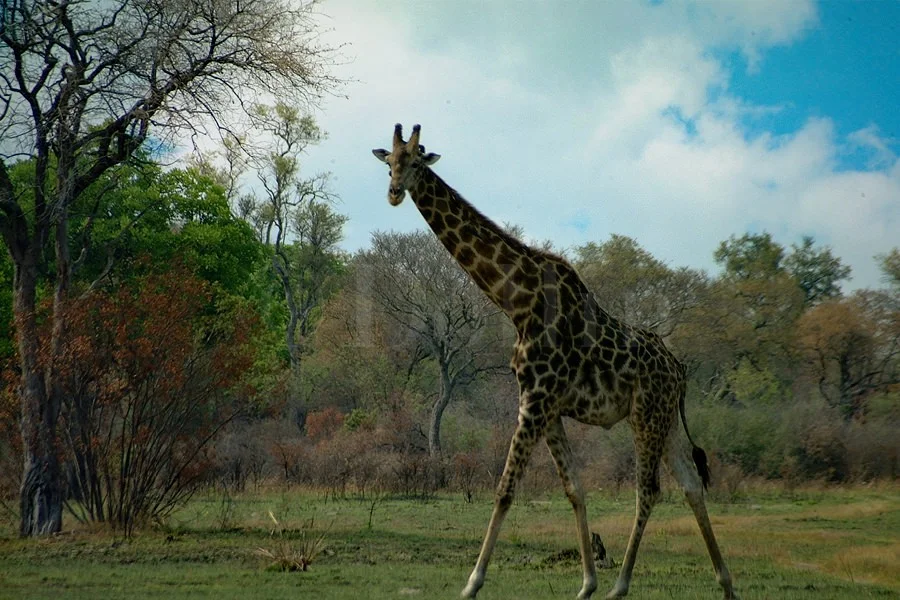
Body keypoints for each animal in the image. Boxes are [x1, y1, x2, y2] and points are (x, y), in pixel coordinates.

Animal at [372, 124, 737, 600]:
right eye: (388, 163)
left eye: (416, 161)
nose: (394, 192)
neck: (517, 301)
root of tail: (680, 372)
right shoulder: (546, 404)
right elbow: (574, 488)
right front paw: (585, 584)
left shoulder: (535, 399)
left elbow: (505, 489)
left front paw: (472, 583)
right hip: (667, 419)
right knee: (692, 484)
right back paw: (725, 583)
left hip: (645, 415)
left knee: (650, 490)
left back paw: (622, 585)